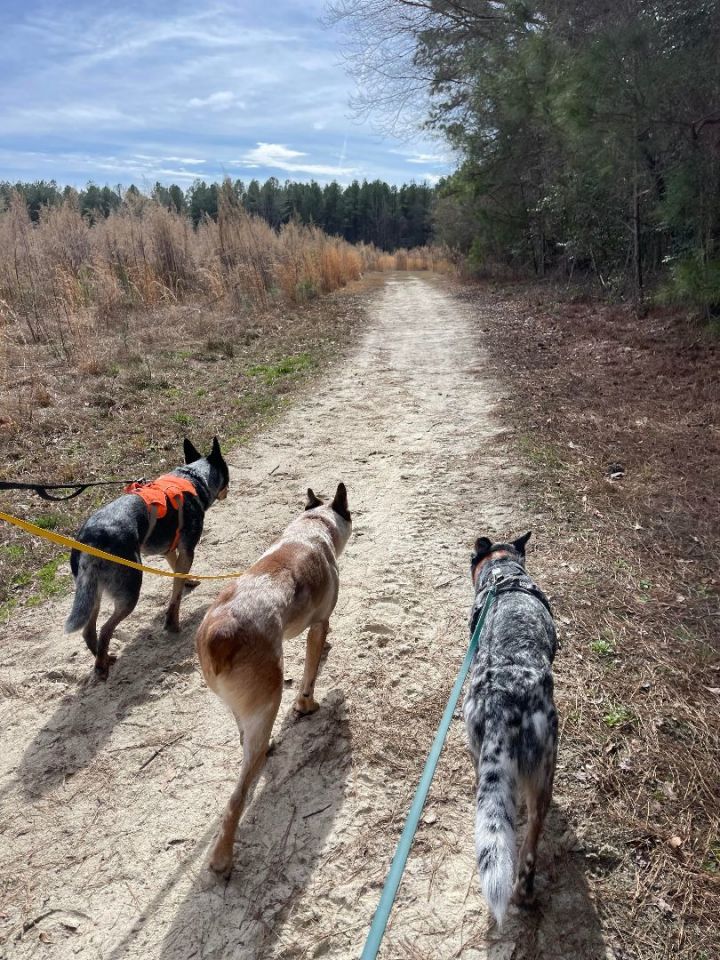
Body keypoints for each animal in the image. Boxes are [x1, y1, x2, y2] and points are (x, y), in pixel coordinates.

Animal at [64, 436, 229, 676]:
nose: (228, 492)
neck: (193, 477)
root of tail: (92, 540)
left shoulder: (169, 551)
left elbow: (178, 575)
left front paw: (187, 581)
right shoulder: (187, 550)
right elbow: (175, 595)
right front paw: (172, 623)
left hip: (92, 591)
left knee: (89, 631)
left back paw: (104, 659)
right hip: (129, 591)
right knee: (105, 629)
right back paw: (102, 667)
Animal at [195, 484, 352, 872]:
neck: (312, 528)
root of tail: (221, 632)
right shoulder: (319, 624)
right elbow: (311, 671)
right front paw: (307, 705)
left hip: (249, 712)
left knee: (246, 740)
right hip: (269, 700)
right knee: (236, 800)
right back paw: (222, 859)